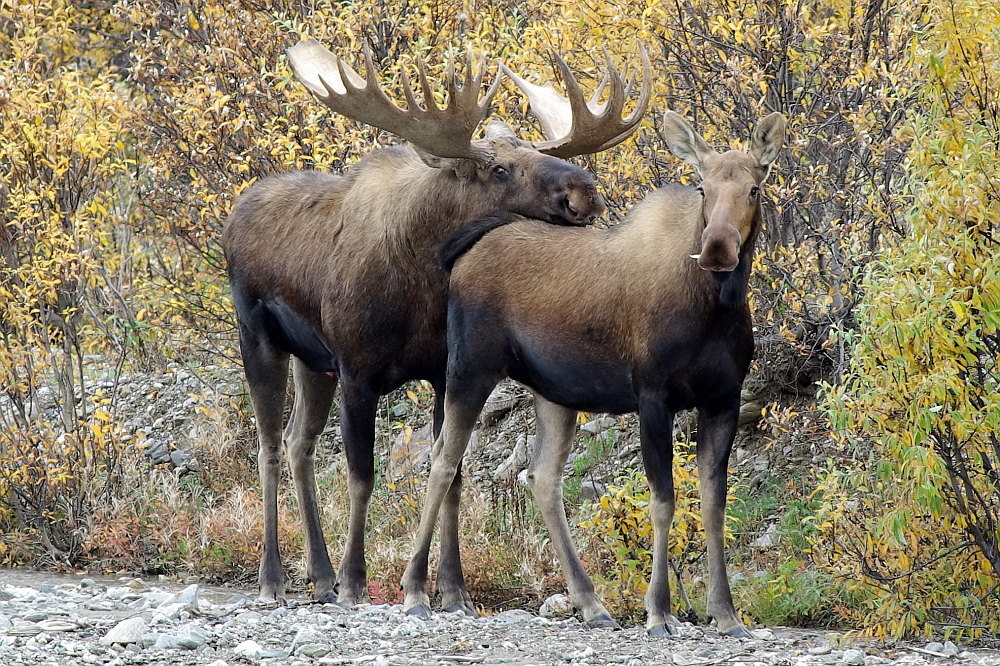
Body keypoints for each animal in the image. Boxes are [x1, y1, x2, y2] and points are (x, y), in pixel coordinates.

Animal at [220, 36, 652, 608]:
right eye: (498, 169)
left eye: (538, 152)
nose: (584, 191)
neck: (425, 276)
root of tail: (233, 213)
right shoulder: (358, 370)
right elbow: (362, 477)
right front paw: (356, 580)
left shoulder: (442, 370)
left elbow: (452, 476)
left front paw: (449, 588)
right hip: (257, 335)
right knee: (268, 446)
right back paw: (275, 577)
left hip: (313, 361)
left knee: (297, 443)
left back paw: (319, 574)